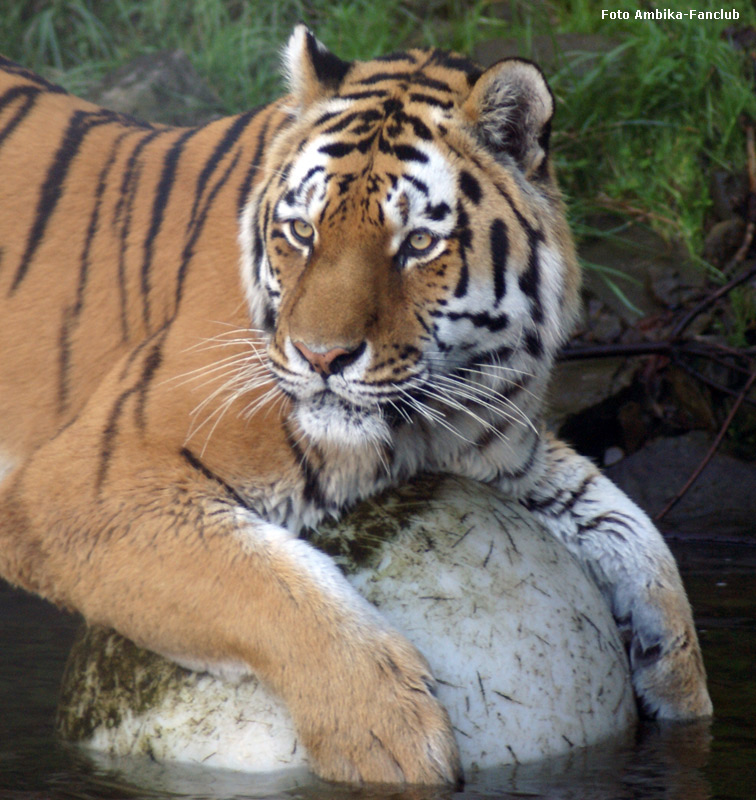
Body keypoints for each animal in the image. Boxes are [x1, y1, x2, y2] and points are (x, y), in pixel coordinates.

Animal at [0, 25, 708, 788]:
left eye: (418, 244)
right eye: (303, 233)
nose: (321, 357)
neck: (433, 417)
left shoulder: (501, 450)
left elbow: (633, 534)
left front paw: (680, 690)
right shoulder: (85, 486)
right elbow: (270, 581)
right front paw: (389, 736)